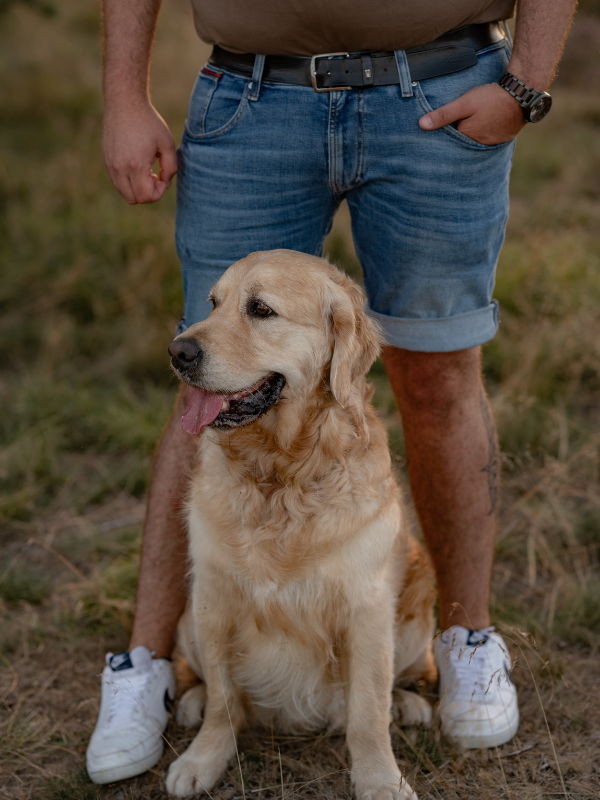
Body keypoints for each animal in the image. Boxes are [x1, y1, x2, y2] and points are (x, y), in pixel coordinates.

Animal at [164, 250, 436, 800]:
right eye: (213, 303)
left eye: (261, 309)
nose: (178, 352)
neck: (281, 478)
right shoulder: (213, 598)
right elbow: (225, 699)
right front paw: (203, 758)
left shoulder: (367, 609)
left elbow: (367, 712)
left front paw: (380, 779)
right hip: (186, 619)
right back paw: (192, 701)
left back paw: (409, 704)